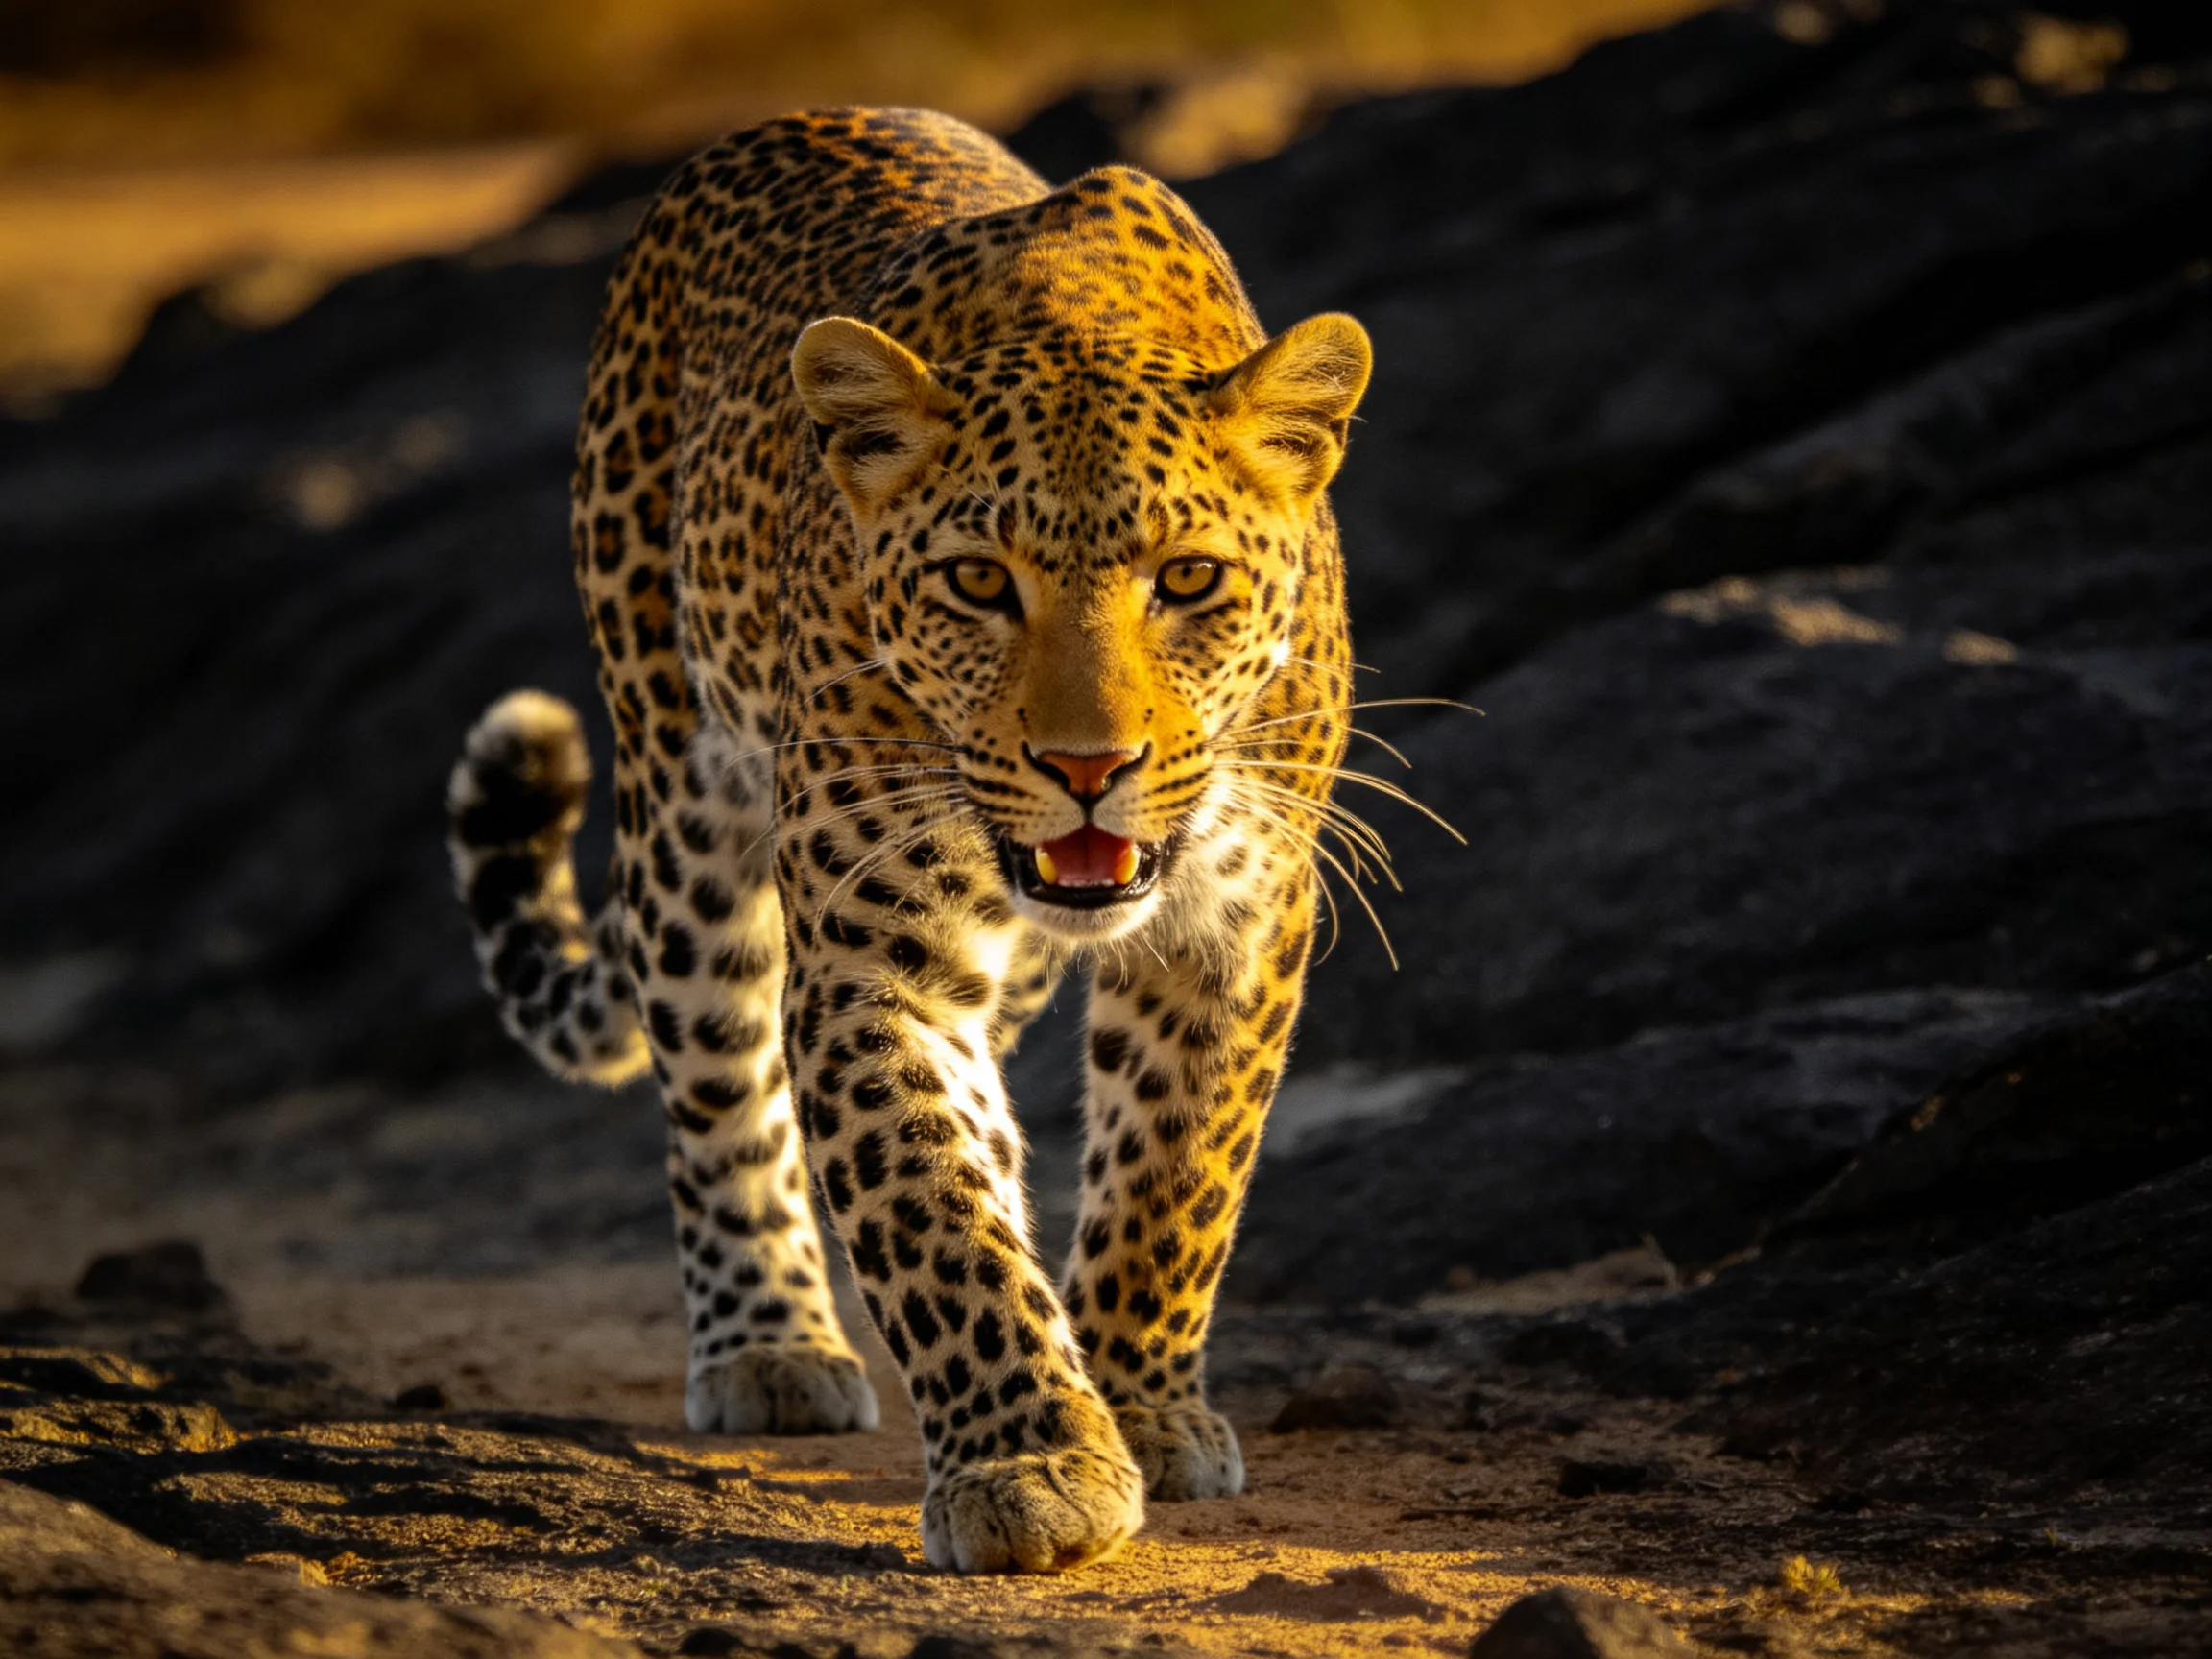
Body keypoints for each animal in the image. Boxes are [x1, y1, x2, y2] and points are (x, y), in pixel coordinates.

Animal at [446, 106, 1369, 1573]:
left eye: (1188, 580)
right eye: (978, 583)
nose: (1089, 768)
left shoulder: (1237, 920)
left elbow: (1177, 1175)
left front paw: (1138, 1407)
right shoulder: (873, 955)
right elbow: (928, 1205)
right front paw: (1035, 1461)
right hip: (679, 784)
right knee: (720, 1075)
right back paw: (768, 1346)